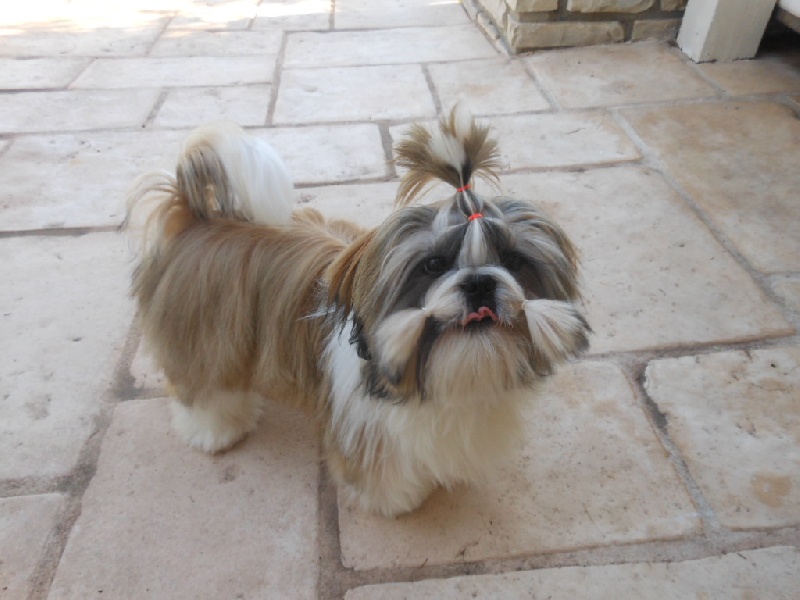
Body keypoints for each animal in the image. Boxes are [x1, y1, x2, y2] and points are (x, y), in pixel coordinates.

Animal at [125, 107, 589, 516]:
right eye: (433, 265)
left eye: (512, 261)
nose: (480, 282)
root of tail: (195, 216)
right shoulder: (366, 428)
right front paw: (398, 500)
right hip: (202, 341)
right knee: (201, 388)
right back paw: (215, 430)